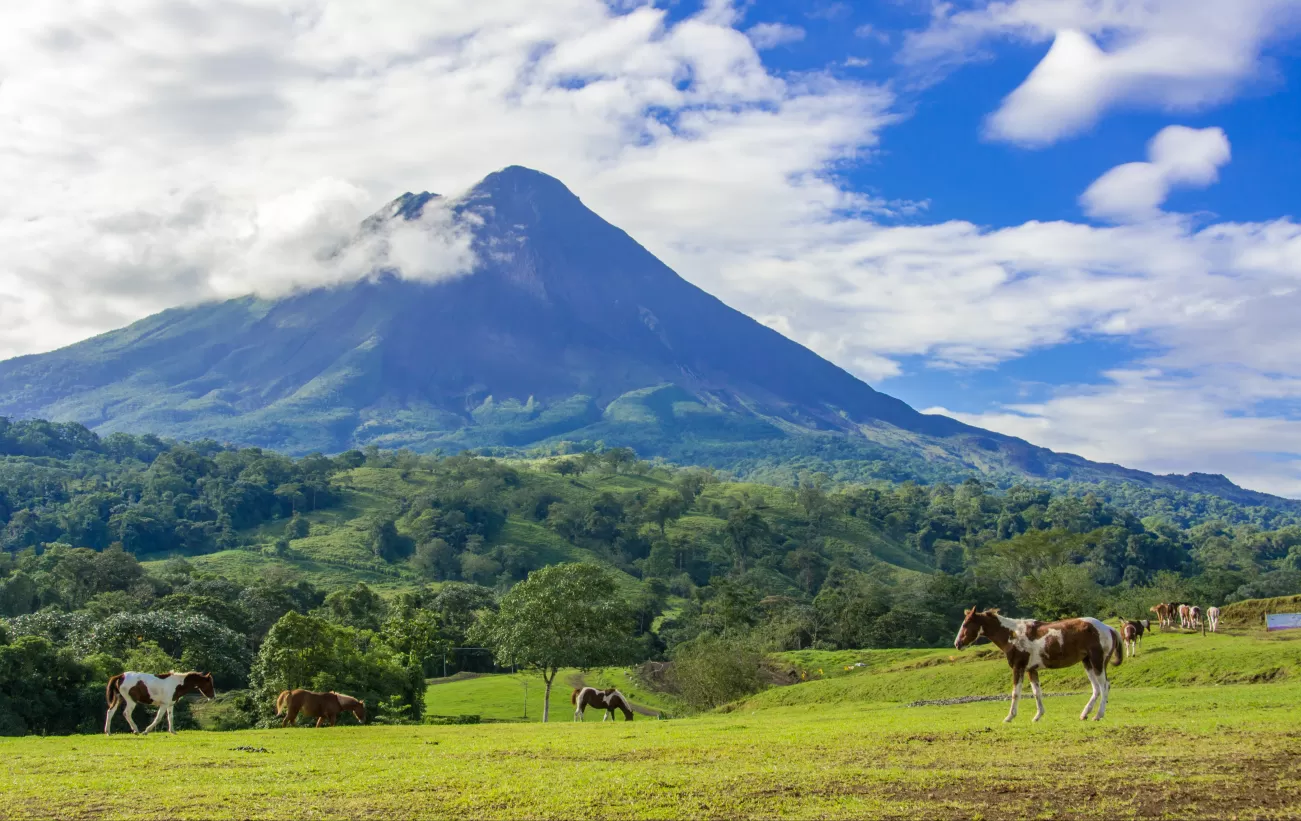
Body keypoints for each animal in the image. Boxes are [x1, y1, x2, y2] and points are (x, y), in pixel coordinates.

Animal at [952, 606, 1124, 723]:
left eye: (966, 624)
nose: (957, 644)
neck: (1012, 635)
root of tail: (1109, 628)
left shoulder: (1018, 668)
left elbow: (1016, 693)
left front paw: (1009, 716)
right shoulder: (1031, 670)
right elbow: (1037, 692)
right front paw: (1037, 716)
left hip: (1097, 662)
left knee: (1104, 686)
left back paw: (1098, 715)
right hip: (1088, 663)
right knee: (1096, 688)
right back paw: (1084, 714)